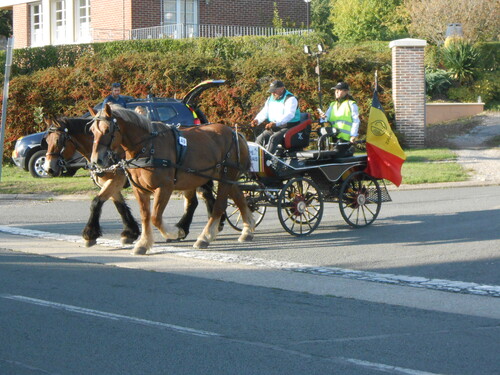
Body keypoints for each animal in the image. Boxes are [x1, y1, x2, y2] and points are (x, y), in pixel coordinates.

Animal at [42, 116, 222, 248]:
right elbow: (120, 206)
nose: (49, 168)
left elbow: (96, 202)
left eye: (59, 141)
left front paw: (89, 234)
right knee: (200, 199)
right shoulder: (112, 184)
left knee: (200, 199)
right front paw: (131, 232)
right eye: (46, 140)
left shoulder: (115, 180)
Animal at [86, 104, 256, 254]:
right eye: (92, 131)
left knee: (219, 206)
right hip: (225, 178)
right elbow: (145, 216)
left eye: (107, 130)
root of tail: (234, 133)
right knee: (240, 198)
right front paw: (143, 243)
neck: (148, 146)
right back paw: (248, 229)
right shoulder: (139, 189)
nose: (96, 160)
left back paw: (205, 237)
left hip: (226, 176)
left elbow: (155, 217)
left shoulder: (164, 187)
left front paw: (174, 232)